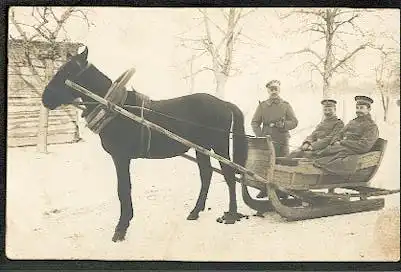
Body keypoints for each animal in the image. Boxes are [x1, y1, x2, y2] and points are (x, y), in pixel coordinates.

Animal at [40, 46, 247, 242]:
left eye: (68, 71)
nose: (45, 97)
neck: (114, 108)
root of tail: (224, 103)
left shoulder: (121, 157)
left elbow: (123, 189)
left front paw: (121, 228)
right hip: (201, 148)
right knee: (206, 175)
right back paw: (195, 211)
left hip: (218, 146)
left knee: (228, 175)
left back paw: (231, 215)